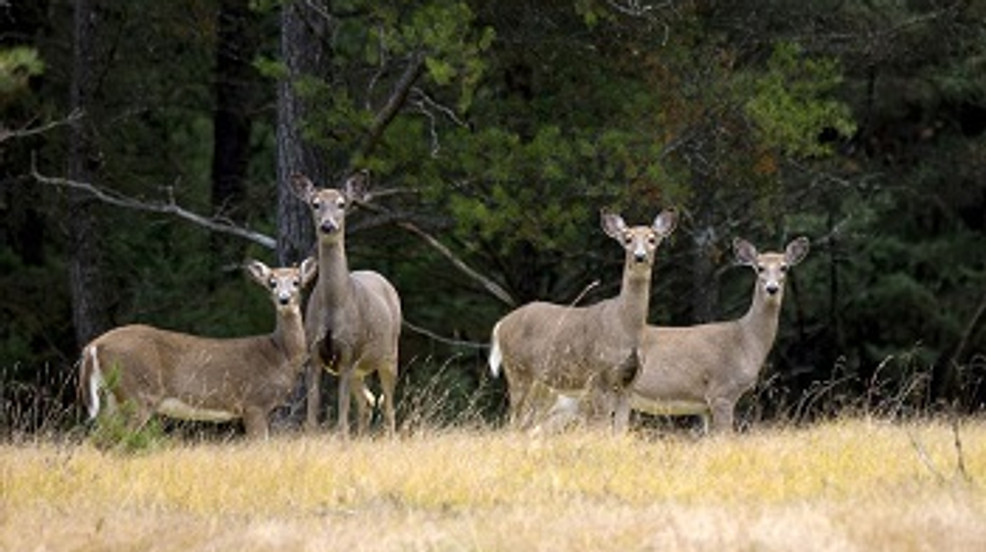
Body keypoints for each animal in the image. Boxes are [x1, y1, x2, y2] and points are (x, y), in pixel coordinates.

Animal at [81, 256, 320, 438]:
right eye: (272, 282)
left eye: (297, 281)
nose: (284, 299)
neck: (280, 355)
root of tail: (94, 345)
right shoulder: (254, 402)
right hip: (137, 393)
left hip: (113, 396)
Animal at [290, 170, 402, 438]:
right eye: (315, 203)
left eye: (342, 204)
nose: (328, 225)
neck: (333, 307)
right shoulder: (314, 354)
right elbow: (312, 418)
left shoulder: (349, 352)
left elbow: (341, 420)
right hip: (360, 370)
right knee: (367, 402)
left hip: (390, 354)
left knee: (389, 408)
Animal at [486, 209, 676, 434]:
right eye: (627, 239)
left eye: (652, 239)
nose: (640, 256)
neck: (625, 326)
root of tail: (500, 325)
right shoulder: (599, 373)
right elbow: (600, 426)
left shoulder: (629, 382)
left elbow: (620, 430)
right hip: (517, 370)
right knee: (514, 421)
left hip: (541, 383)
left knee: (527, 424)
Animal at [632, 235, 808, 434]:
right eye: (760, 267)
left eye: (784, 267)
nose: (772, 288)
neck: (745, 340)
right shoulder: (722, 392)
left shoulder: (706, 406)